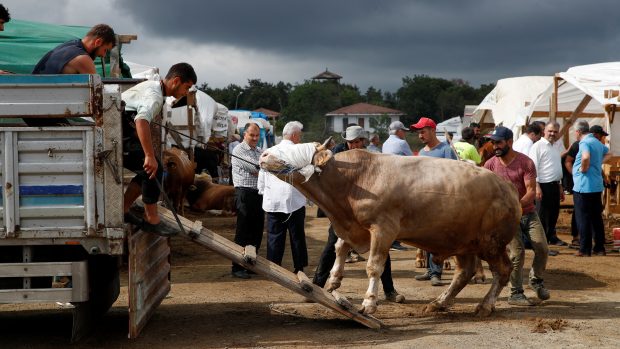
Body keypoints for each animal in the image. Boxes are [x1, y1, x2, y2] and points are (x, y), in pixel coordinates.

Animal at [260, 139, 520, 316]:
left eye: (295, 149)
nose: (262, 154)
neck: (354, 180)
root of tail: (506, 186)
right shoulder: (354, 227)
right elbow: (340, 247)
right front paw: (333, 280)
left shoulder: (383, 229)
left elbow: (374, 266)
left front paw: (368, 302)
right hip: (460, 241)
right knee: (464, 273)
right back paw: (439, 302)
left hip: (491, 243)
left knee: (503, 270)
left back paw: (485, 305)